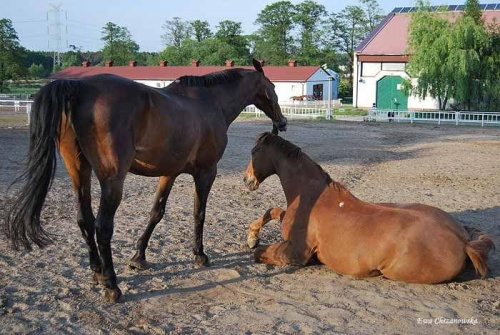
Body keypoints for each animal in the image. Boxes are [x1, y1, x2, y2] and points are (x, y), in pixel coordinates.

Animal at [3, 59, 288, 304]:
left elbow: (156, 213)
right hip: (112, 181)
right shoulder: (206, 172)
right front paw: (199, 255)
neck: (210, 103)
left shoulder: (168, 173)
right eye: (273, 88)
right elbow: (199, 214)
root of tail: (80, 88)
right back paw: (112, 286)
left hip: (78, 172)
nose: (283, 122)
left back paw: (97, 272)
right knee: (102, 227)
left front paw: (139, 257)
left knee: (84, 220)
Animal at [244, 133, 494, 284]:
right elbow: (271, 211)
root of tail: (463, 242)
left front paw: (254, 243)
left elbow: (259, 253)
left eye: (254, 152)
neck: (311, 195)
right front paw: (252, 236)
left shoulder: (296, 253)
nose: (247, 180)